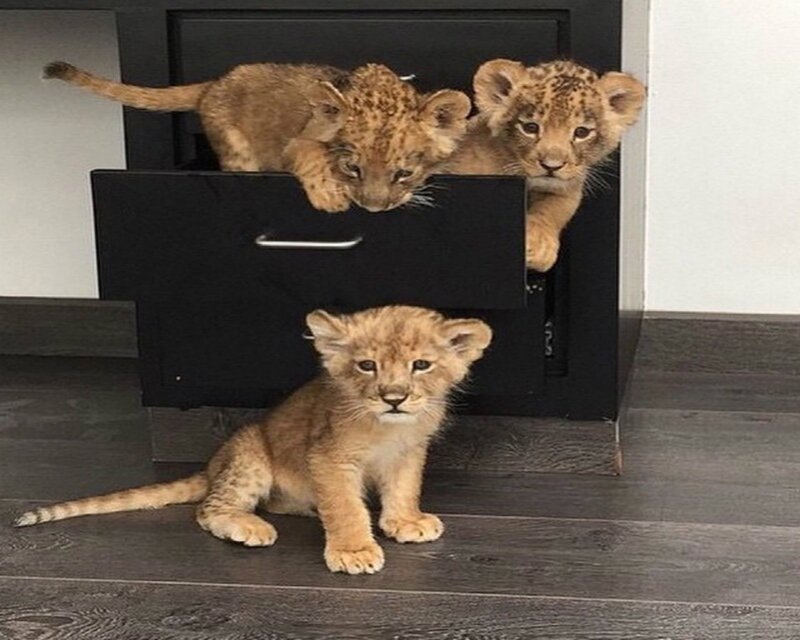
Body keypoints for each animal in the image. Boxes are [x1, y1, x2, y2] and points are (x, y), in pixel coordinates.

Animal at [14, 305, 492, 575]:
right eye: (367, 365)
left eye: (421, 365)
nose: (394, 398)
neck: (389, 428)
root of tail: (211, 466)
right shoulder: (329, 457)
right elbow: (345, 507)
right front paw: (354, 550)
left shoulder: (409, 452)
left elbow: (404, 488)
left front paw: (406, 522)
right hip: (249, 453)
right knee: (210, 509)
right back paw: (250, 526)